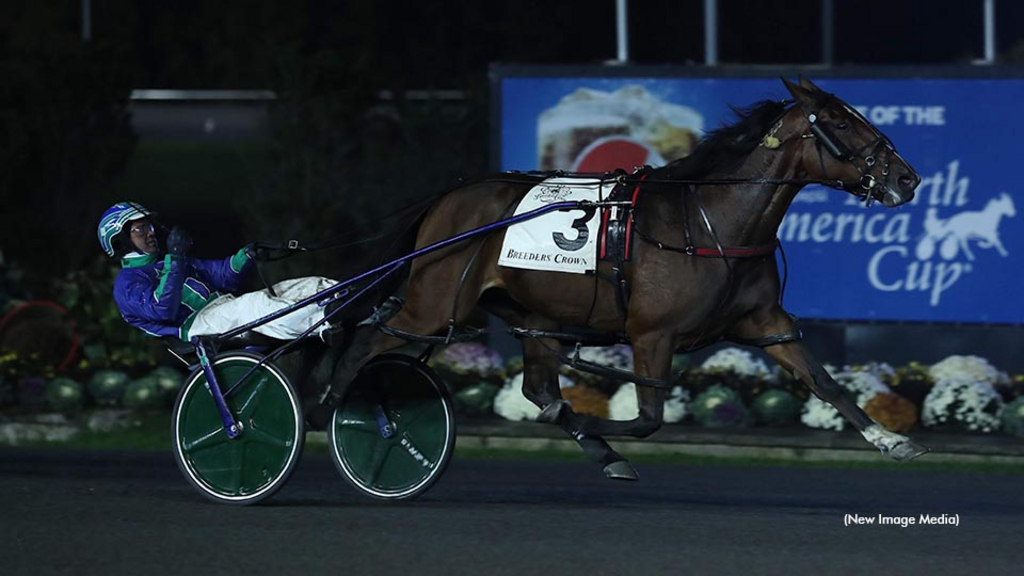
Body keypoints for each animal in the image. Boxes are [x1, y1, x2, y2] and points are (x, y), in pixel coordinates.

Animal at [321, 77, 929, 479]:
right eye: (843, 123)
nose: (908, 178)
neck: (710, 221)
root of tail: (451, 194)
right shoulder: (651, 334)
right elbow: (646, 419)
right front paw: (597, 431)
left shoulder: (764, 322)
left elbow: (822, 380)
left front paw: (891, 439)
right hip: (435, 302)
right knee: (368, 339)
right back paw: (338, 405)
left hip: (536, 315)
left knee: (536, 384)